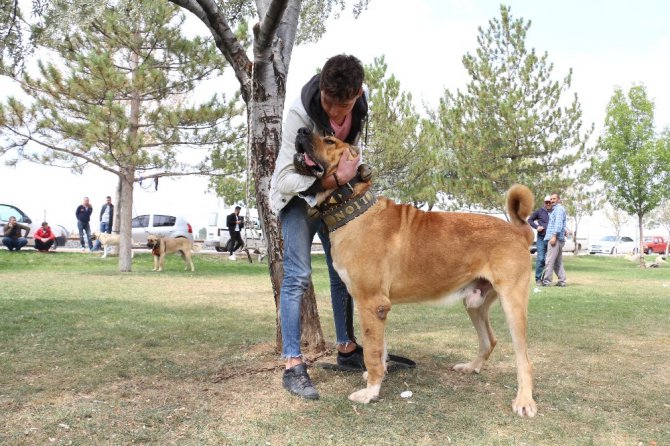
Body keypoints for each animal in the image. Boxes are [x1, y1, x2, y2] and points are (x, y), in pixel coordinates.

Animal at [296, 129, 540, 418]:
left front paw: (371, 392)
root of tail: (519, 232)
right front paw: (378, 377)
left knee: (524, 359)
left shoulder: (372, 303)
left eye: (330, 140)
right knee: (489, 340)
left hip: (512, 303)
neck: (354, 208)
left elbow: (372, 352)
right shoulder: (375, 307)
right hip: (475, 303)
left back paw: (524, 400)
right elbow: (380, 349)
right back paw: (472, 367)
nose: (300, 131)